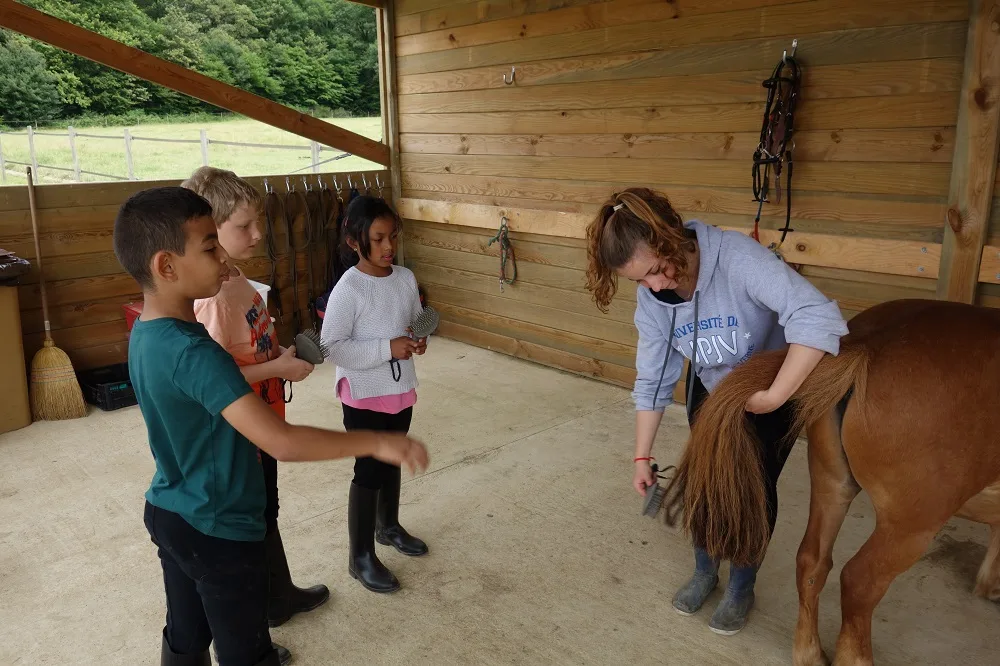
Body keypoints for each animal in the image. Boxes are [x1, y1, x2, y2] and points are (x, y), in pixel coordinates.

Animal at [664, 300, 1000, 664]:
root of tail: (864, 347)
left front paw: (989, 584)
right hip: (911, 524)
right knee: (858, 582)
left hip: (832, 483)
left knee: (812, 561)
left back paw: (809, 653)